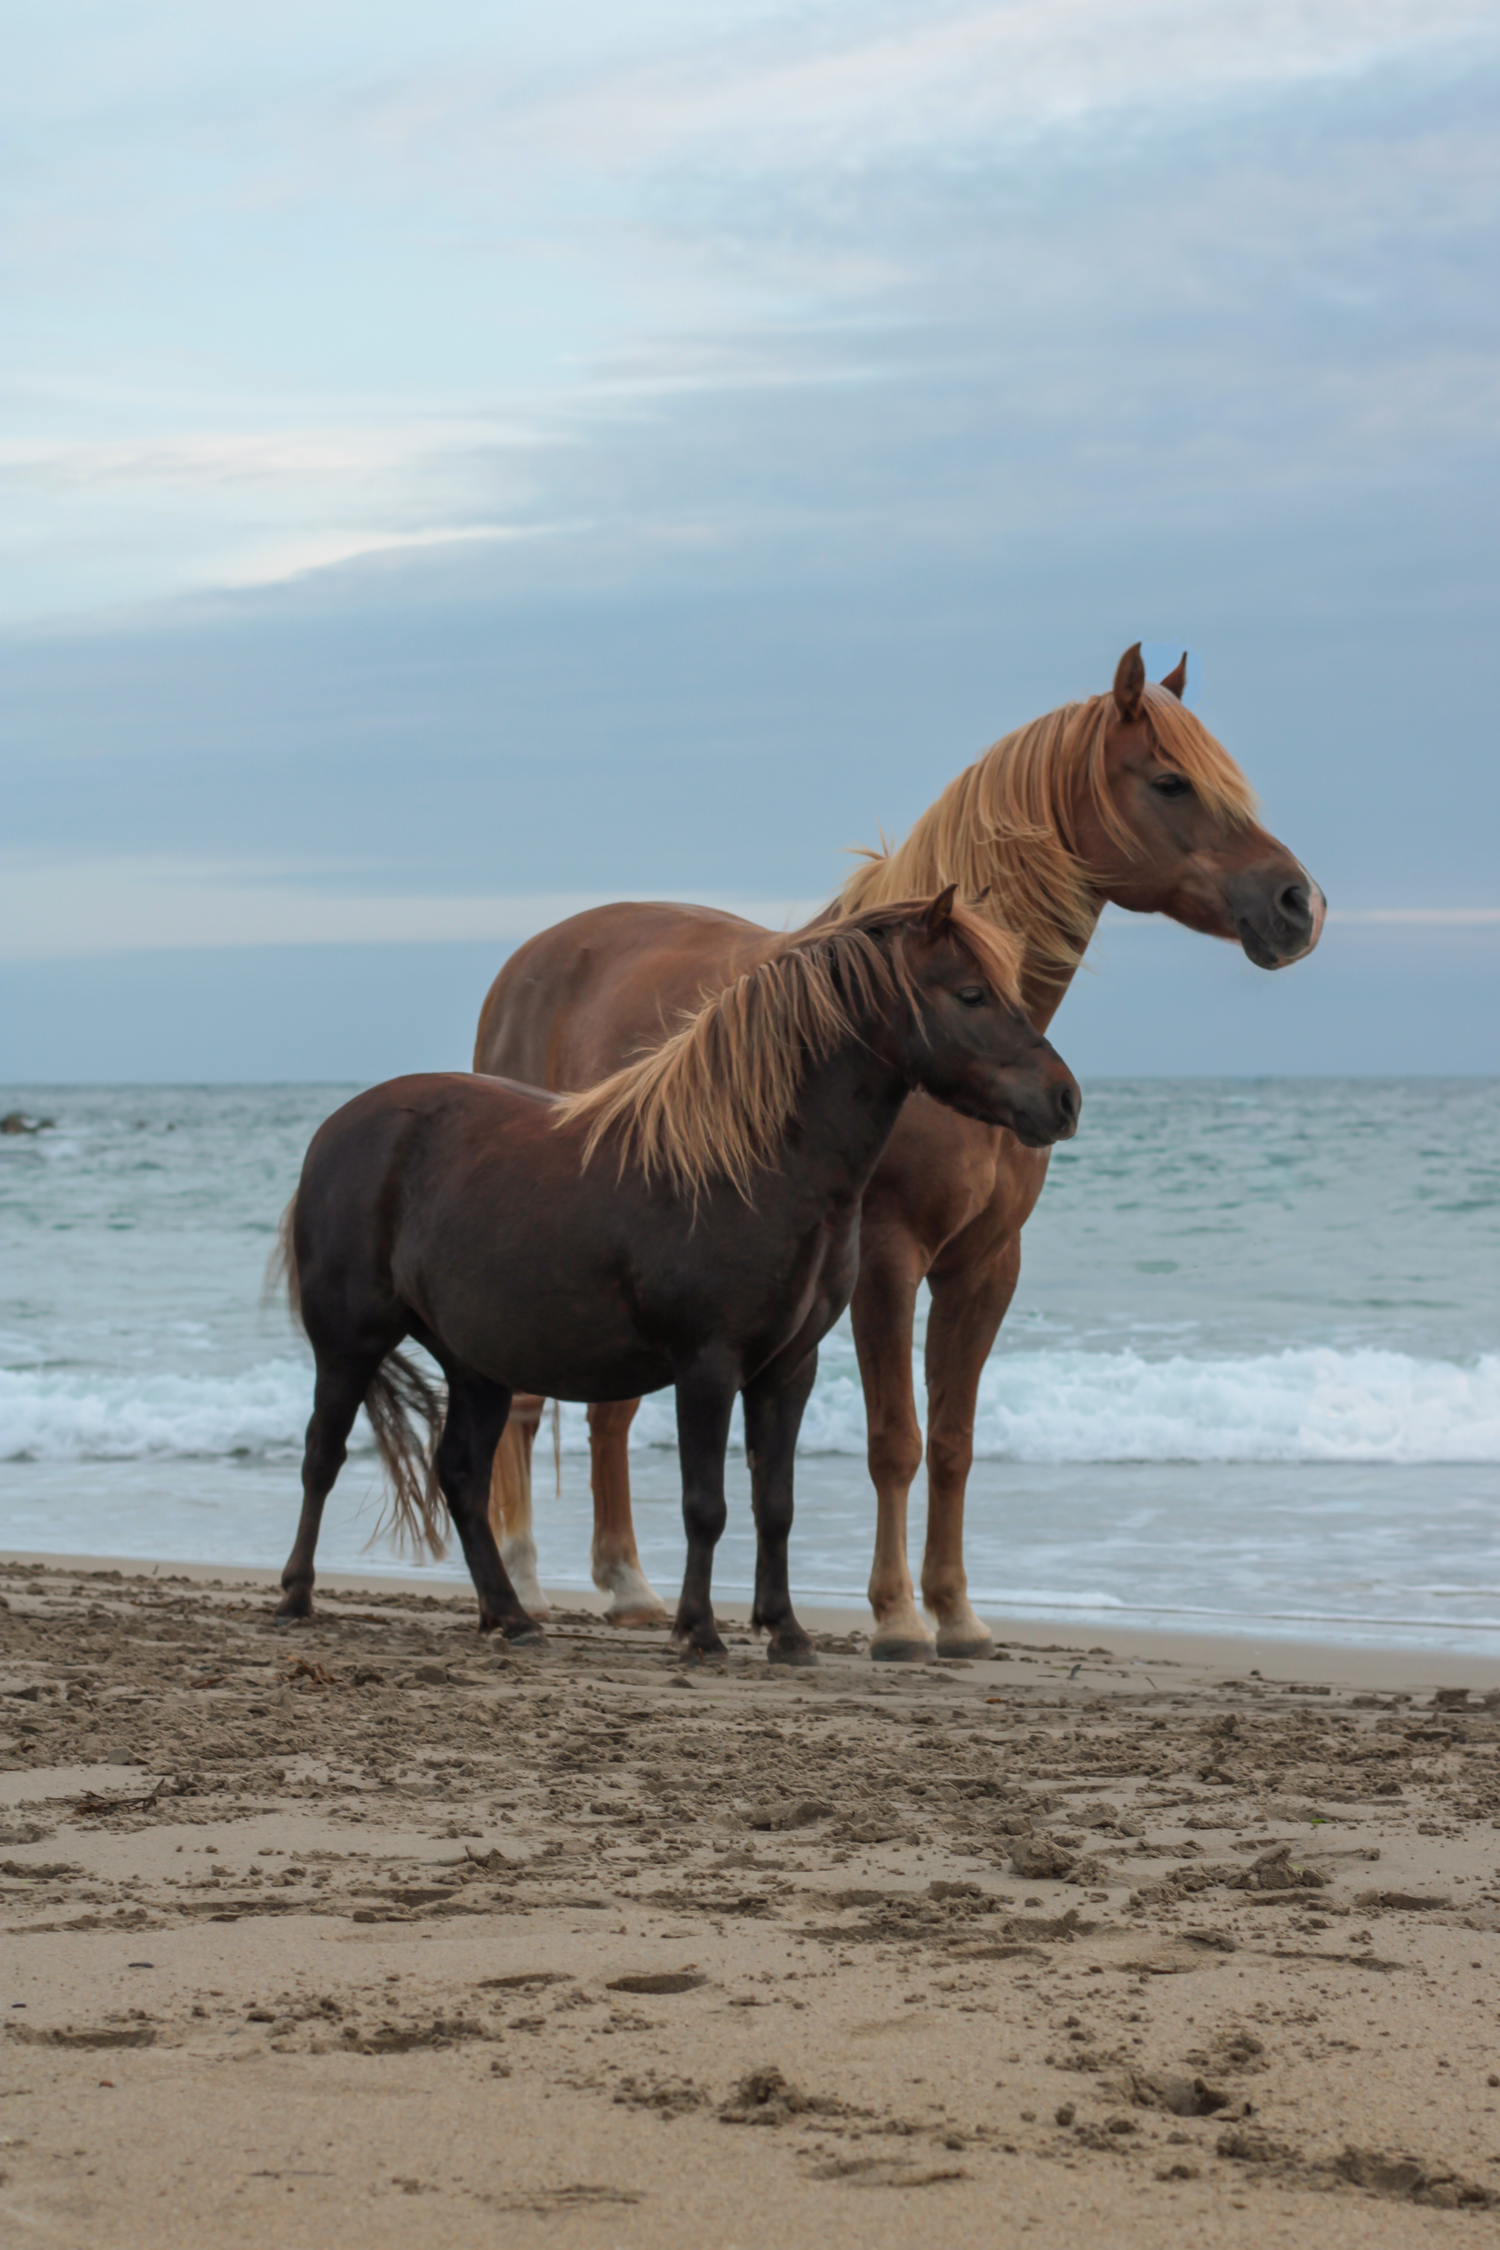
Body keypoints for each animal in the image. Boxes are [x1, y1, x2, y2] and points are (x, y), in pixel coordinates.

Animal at [273, 892, 1080, 1657]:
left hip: (477, 1366)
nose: (1064, 1099)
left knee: (462, 1479)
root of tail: (340, 1127)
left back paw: (511, 1618)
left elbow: (774, 1504)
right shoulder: (708, 1365)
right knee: (323, 1456)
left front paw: (786, 1633)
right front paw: (699, 1631)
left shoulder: (789, 1369)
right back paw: (296, 1597)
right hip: (349, 1346)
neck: (752, 1165)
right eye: (972, 993)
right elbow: (707, 1505)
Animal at [474, 644, 1325, 1659]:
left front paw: (957, 1612)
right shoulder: (886, 1259)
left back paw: (628, 1584)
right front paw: (896, 1619)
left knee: (610, 1414)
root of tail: (531, 958)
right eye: (1170, 781)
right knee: (530, 1408)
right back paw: (524, 1573)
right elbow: (896, 1439)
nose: (1298, 905)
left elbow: (953, 1441)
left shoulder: (987, 1265)